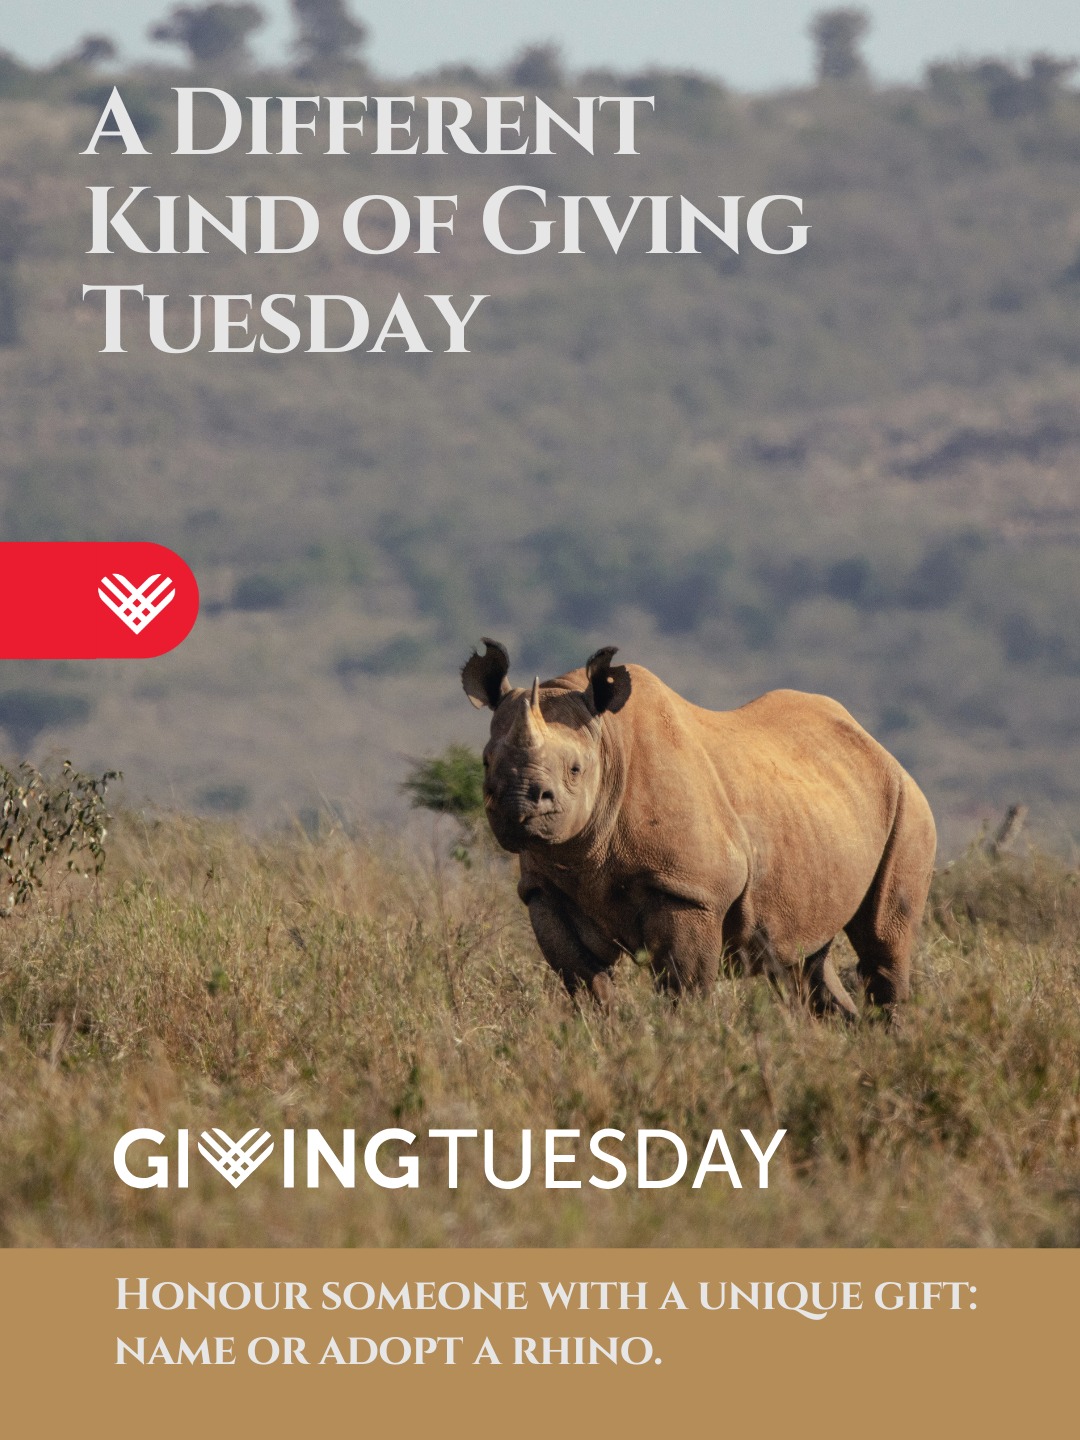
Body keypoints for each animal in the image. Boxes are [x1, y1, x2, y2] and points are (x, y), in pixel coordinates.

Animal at [462, 639, 936, 1018]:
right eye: (485, 763)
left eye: (576, 769)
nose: (516, 804)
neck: (608, 745)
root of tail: (876, 744)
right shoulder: (545, 889)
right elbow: (586, 984)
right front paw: (606, 1039)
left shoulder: (690, 890)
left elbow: (683, 988)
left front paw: (685, 1045)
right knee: (803, 963)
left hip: (909, 804)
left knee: (882, 945)